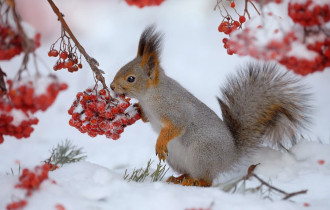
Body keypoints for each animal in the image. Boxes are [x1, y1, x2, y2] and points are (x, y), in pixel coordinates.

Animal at [110, 25, 310, 187]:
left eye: (131, 79)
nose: (111, 87)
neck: (150, 96)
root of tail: (230, 157)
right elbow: (147, 117)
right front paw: (136, 109)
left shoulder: (176, 109)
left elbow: (176, 127)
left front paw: (160, 142)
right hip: (176, 158)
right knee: (190, 173)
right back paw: (179, 178)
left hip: (202, 153)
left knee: (208, 180)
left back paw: (194, 182)